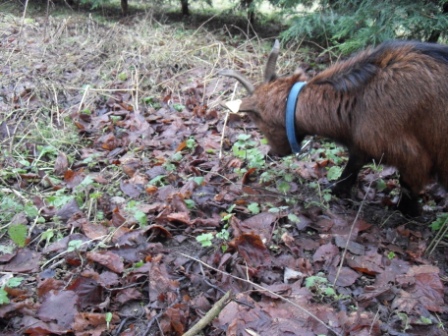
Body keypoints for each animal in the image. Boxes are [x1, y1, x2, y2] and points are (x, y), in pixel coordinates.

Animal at [220, 40, 448, 217]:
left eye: (259, 121)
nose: (273, 153)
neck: (359, 98)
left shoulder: (412, 157)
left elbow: (408, 185)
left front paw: (408, 212)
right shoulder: (360, 146)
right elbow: (350, 170)